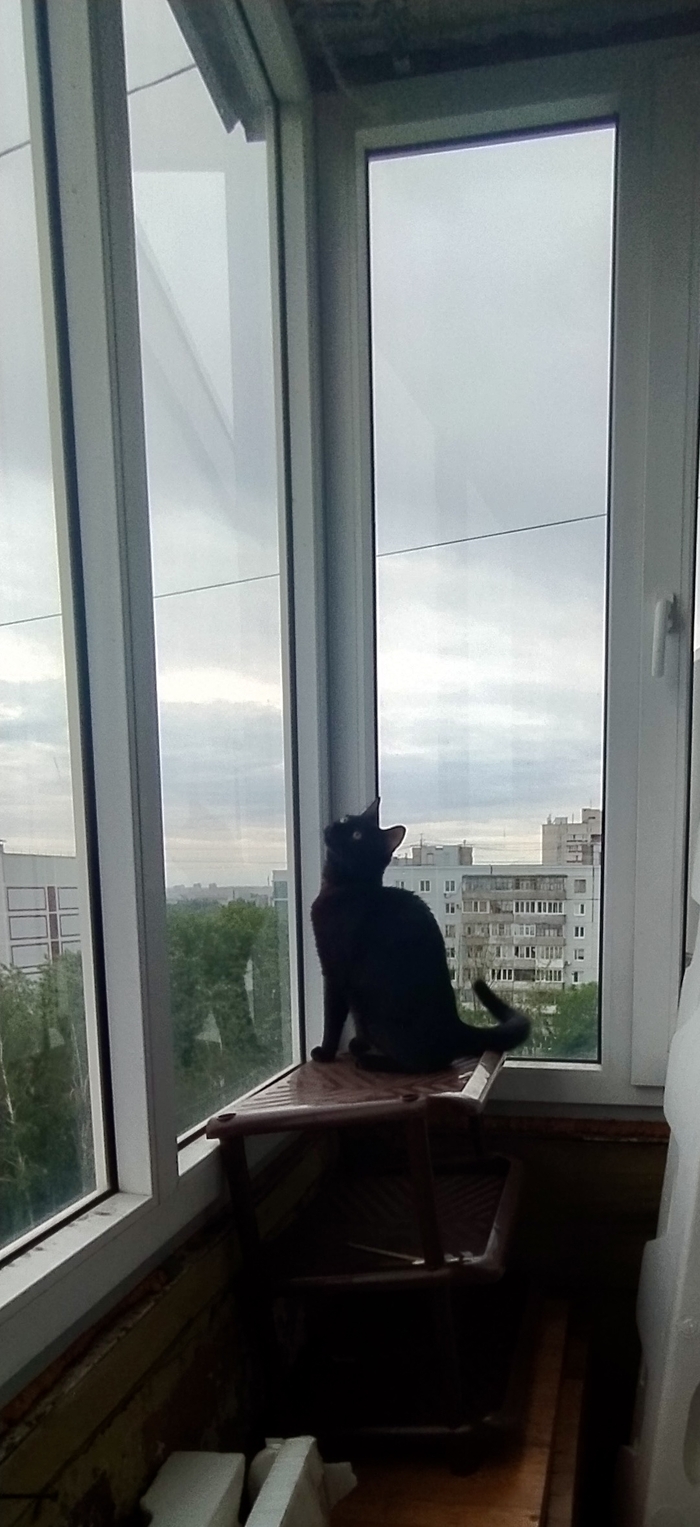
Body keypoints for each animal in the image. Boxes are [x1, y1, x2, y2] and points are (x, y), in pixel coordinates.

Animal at [310, 799, 531, 1072]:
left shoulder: (334, 972)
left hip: (378, 1013)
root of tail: (454, 1027)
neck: (344, 887)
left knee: (426, 1062)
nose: (334, 827)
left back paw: (372, 1061)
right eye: (344, 820)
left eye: (357, 835)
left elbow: (332, 1019)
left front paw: (325, 1052)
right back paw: (362, 1047)